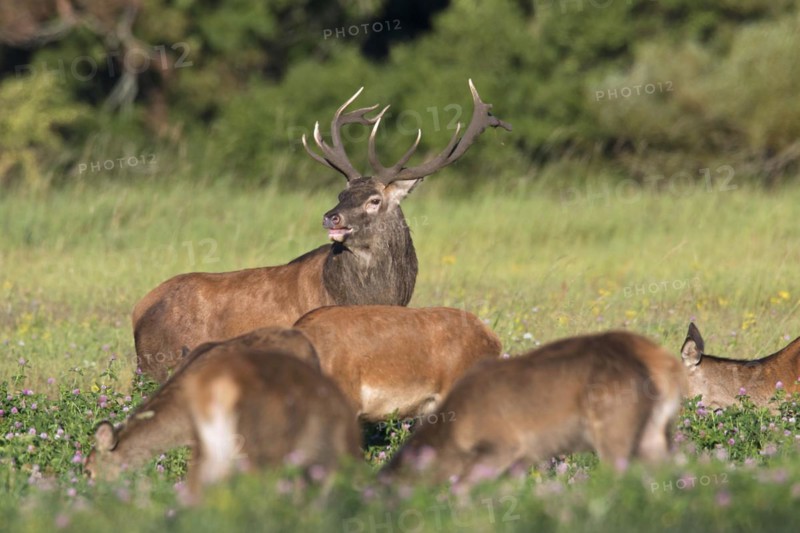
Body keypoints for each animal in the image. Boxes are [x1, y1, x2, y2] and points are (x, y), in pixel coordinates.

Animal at [133, 80, 512, 382]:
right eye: (341, 195)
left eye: (374, 200)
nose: (331, 217)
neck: (369, 297)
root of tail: (139, 309)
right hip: (160, 363)